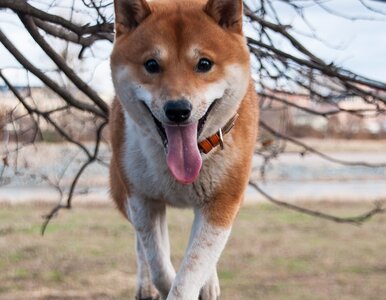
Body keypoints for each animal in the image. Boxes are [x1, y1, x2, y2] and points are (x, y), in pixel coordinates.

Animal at [110, 0, 258, 298]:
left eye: (204, 64)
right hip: (122, 190)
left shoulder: (223, 202)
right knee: (143, 247)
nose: (178, 109)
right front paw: (161, 281)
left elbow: (192, 269)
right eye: (151, 64)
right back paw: (145, 284)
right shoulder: (141, 199)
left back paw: (209, 283)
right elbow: (159, 264)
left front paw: (195, 282)